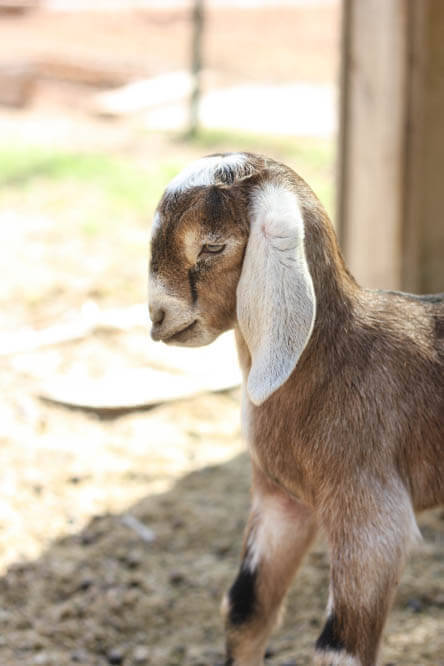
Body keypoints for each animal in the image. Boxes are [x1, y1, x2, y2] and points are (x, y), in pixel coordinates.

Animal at [147, 153, 442, 660]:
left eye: (212, 246)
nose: (157, 316)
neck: (336, 358)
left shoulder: (371, 514)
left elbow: (339, 647)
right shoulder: (280, 500)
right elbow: (245, 610)